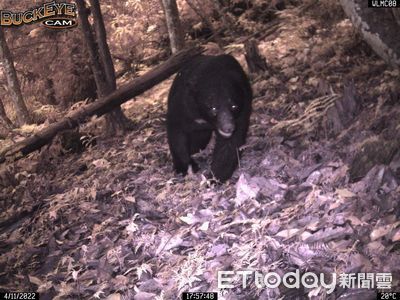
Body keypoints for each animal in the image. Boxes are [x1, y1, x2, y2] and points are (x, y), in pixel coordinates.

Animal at [167, 54, 252, 182]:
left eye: (234, 106)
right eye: (213, 108)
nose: (228, 127)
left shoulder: (243, 108)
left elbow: (230, 144)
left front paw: (213, 178)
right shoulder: (184, 105)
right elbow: (176, 131)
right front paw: (186, 168)